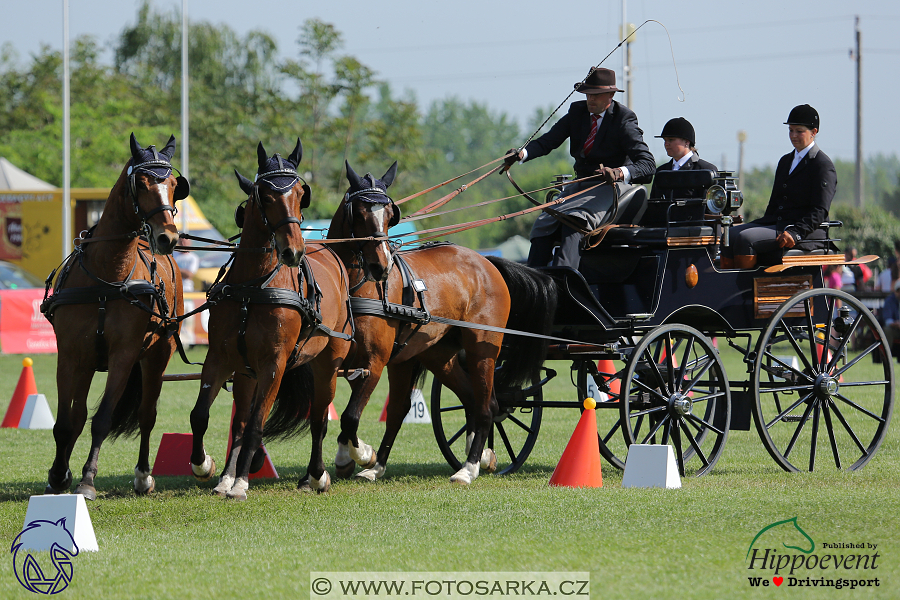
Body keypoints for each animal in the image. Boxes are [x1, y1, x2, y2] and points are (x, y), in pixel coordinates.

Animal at [43, 134, 191, 500]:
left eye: (173, 184)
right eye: (142, 182)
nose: (168, 237)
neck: (106, 275)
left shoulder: (123, 356)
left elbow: (102, 419)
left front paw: (86, 480)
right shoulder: (70, 355)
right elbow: (66, 422)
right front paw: (58, 475)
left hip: (157, 356)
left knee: (147, 414)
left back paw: (142, 475)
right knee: (77, 415)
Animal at [188, 141, 354, 502]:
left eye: (301, 193)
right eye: (264, 194)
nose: (293, 251)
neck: (254, 287)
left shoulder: (274, 364)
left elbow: (256, 426)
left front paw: (241, 484)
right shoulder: (220, 359)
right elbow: (201, 416)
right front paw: (205, 466)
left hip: (327, 363)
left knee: (318, 420)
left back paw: (316, 475)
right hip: (245, 373)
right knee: (238, 421)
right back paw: (226, 476)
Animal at [330, 162, 556, 486]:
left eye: (389, 214)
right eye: (359, 212)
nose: (381, 266)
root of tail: (487, 262)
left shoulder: (375, 360)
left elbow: (350, 415)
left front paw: (361, 454)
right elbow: (339, 412)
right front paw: (351, 457)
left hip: (481, 350)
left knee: (487, 406)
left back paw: (469, 467)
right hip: (435, 355)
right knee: (454, 401)